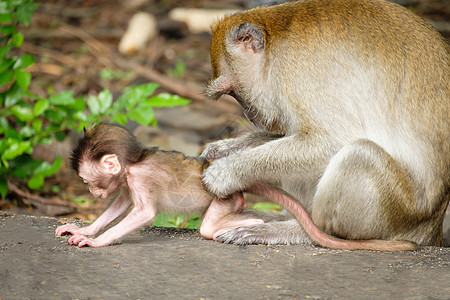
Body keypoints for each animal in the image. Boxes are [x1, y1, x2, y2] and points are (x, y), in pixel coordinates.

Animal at [58, 122, 416, 251]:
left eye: (88, 181)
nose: (92, 193)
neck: (132, 163)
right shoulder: (127, 182)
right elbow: (120, 206)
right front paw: (85, 229)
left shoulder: (139, 179)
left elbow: (143, 213)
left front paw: (96, 241)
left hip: (227, 196)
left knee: (209, 225)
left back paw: (249, 222)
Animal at [202, 0, 448, 247]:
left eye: (233, 91)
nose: (248, 114)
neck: (275, 41)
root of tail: (431, 229)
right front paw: (225, 149)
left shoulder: (299, 71)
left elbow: (330, 141)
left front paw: (226, 172)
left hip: (399, 214)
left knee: (359, 154)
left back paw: (304, 230)